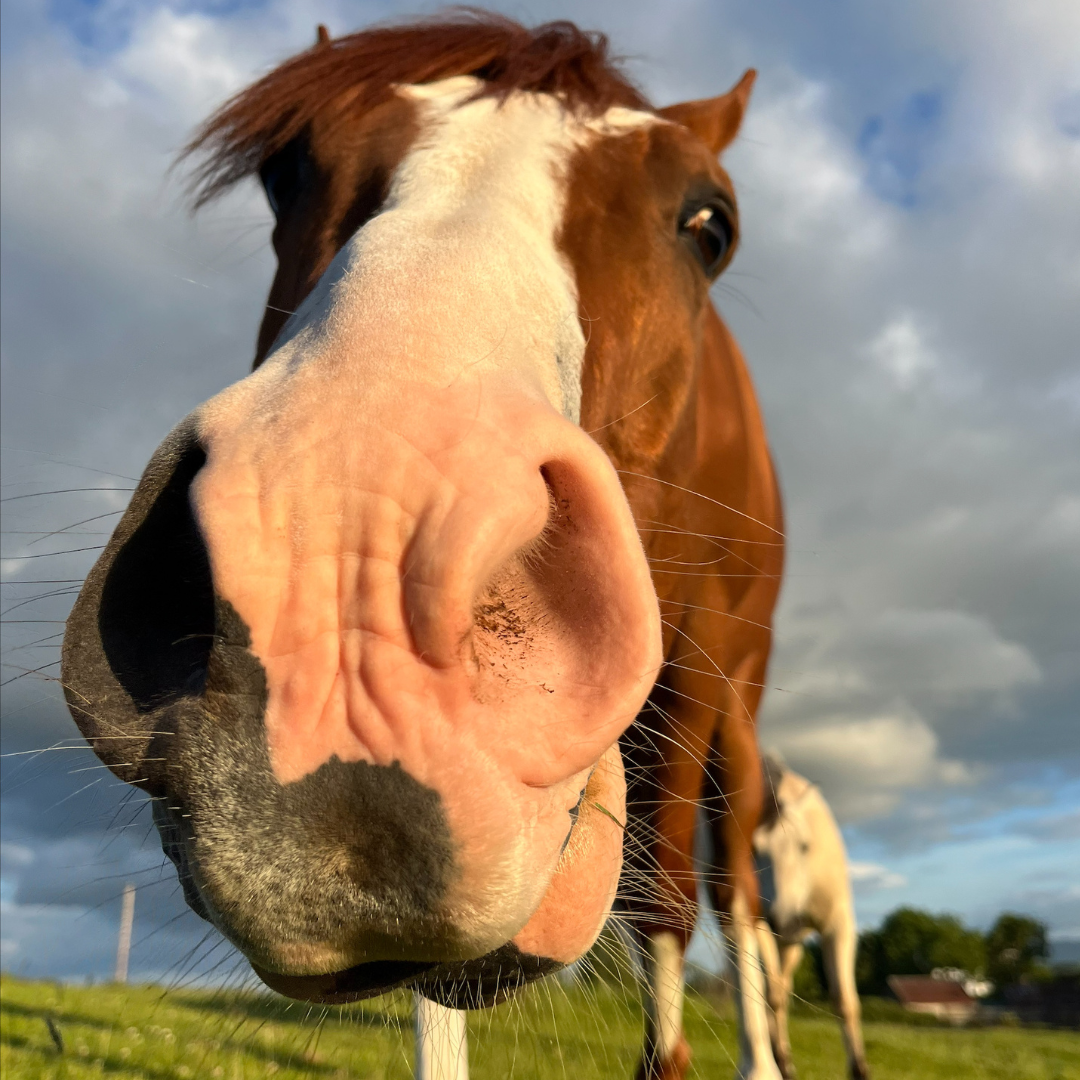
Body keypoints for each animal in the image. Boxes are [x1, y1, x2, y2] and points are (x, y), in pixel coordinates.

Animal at [59, 13, 785, 1080]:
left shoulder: (698, 674)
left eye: (711, 224)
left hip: (731, 689)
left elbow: (675, 895)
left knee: (727, 884)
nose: (344, 571)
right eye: (286, 173)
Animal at [753, 755, 869, 1080]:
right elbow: (772, 994)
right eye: (754, 849)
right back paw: (778, 1060)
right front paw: (780, 1061)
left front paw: (860, 1069)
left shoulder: (838, 925)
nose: (783, 918)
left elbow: (845, 1000)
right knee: (772, 991)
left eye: (804, 846)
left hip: (792, 945)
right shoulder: (759, 925)